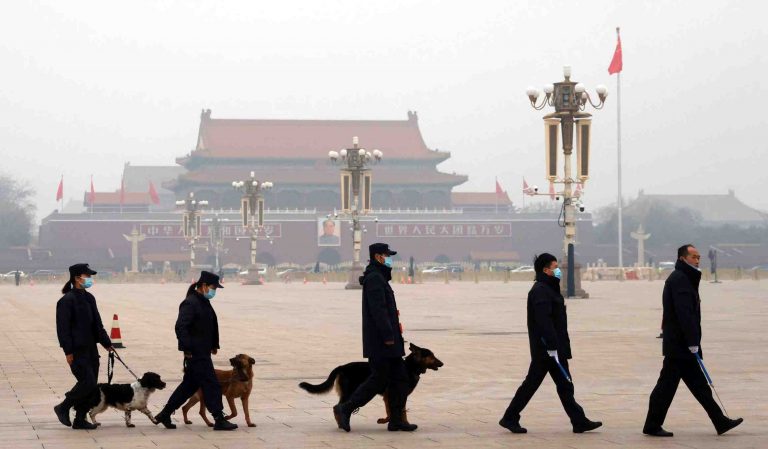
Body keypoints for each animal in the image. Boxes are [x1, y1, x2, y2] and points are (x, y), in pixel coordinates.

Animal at [300, 344, 444, 424]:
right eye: (431, 356)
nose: (442, 363)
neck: (409, 367)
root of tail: (342, 367)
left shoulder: (388, 396)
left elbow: (391, 410)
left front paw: (387, 421)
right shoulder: (398, 395)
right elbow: (401, 411)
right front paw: (403, 423)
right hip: (349, 392)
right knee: (338, 406)